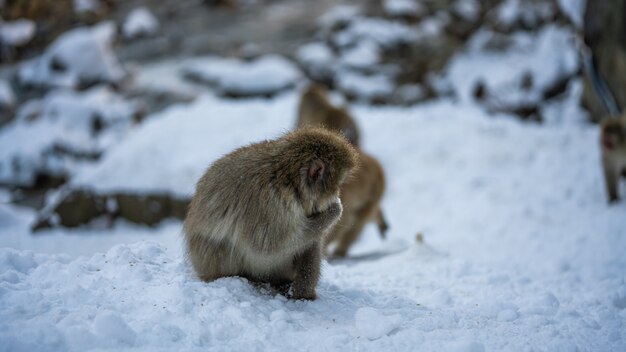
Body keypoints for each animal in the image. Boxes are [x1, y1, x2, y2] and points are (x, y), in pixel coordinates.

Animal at [183, 128, 354, 298]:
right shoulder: (267, 203)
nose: (337, 194)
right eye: (337, 185)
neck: (288, 179)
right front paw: (335, 210)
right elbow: (267, 246)